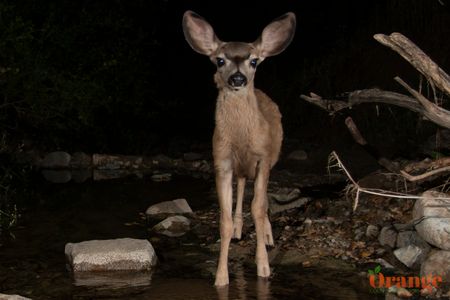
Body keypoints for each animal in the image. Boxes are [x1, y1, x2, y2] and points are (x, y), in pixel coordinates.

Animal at [183, 9, 296, 286]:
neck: (242, 139)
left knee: (261, 200)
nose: (238, 78)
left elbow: (258, 207)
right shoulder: (222, 161)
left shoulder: (263, 158)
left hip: (270, 160)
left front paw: (264, 267)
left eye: (254, 61)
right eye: (220, 60)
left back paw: (267, 235)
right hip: (240, 168)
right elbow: (223, 218)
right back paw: (238, 229)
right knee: (243, 186)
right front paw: (221, 277)